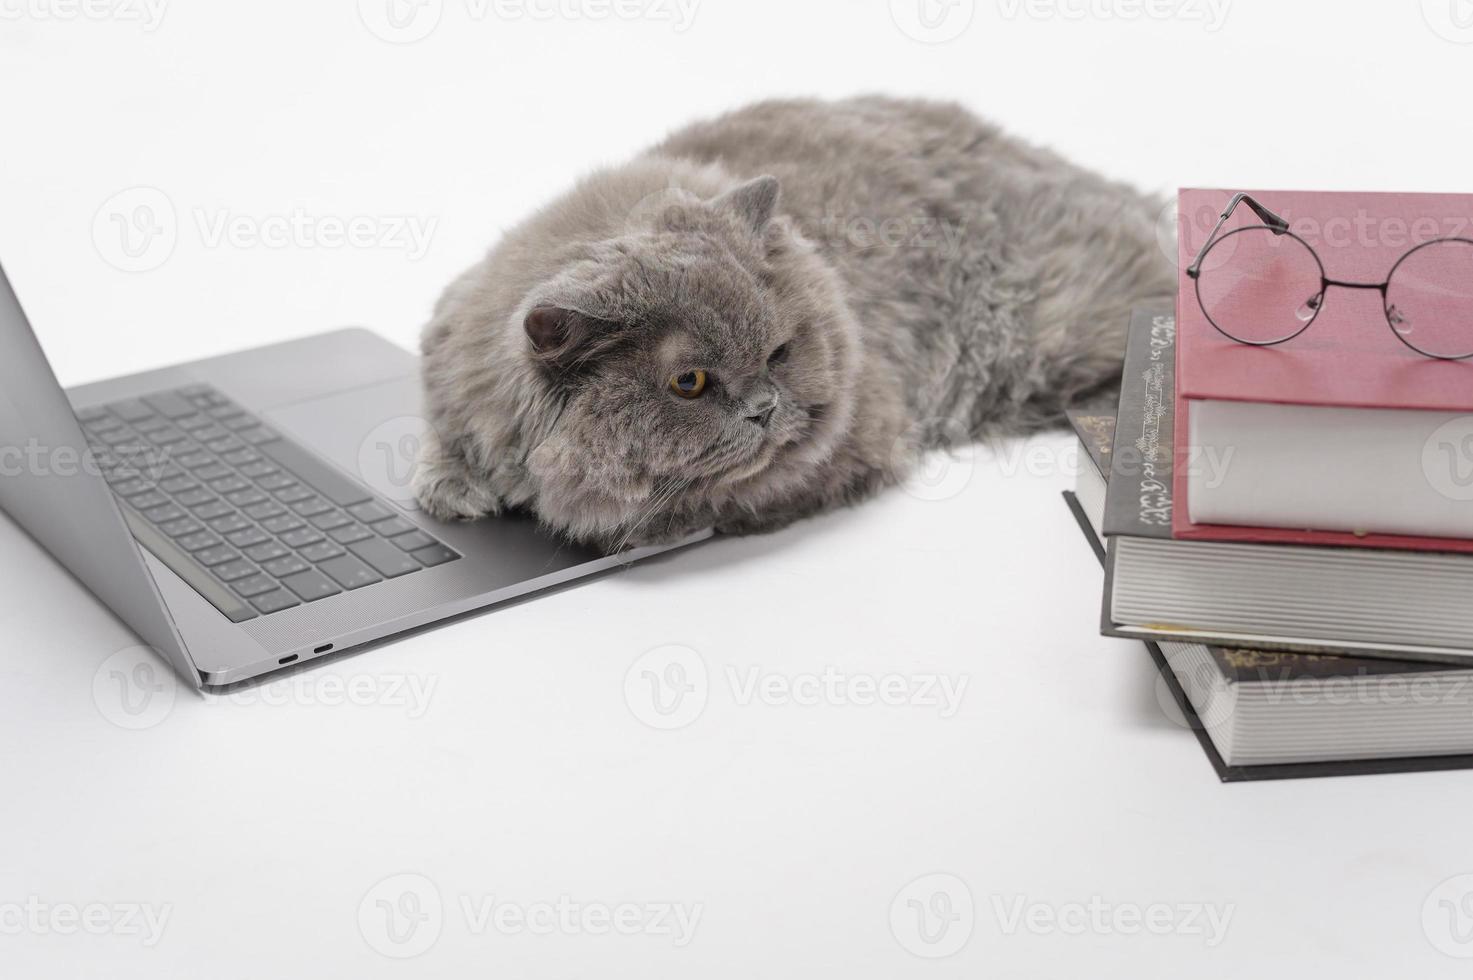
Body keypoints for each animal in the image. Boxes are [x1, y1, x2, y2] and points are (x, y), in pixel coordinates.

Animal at [415, 98, 1172, 551]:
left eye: (778, 353)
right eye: (689, 383)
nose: (761, 408)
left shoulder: (856, 441)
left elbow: (686, 507)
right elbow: (443, 435)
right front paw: (452, 488)